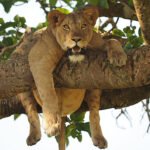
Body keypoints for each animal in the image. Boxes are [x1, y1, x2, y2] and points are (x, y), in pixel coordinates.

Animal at [17, 6, 126, 149]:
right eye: (66, 27)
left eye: (83, 26)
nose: (76, 39)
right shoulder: (38, 58)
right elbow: (48, 94)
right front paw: (52, 125)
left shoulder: (97, 41)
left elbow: (112, 40)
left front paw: (119, 56)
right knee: (31, 111)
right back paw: (33, 136)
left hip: (96, 83)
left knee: (94, 111)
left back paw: (99, 138)